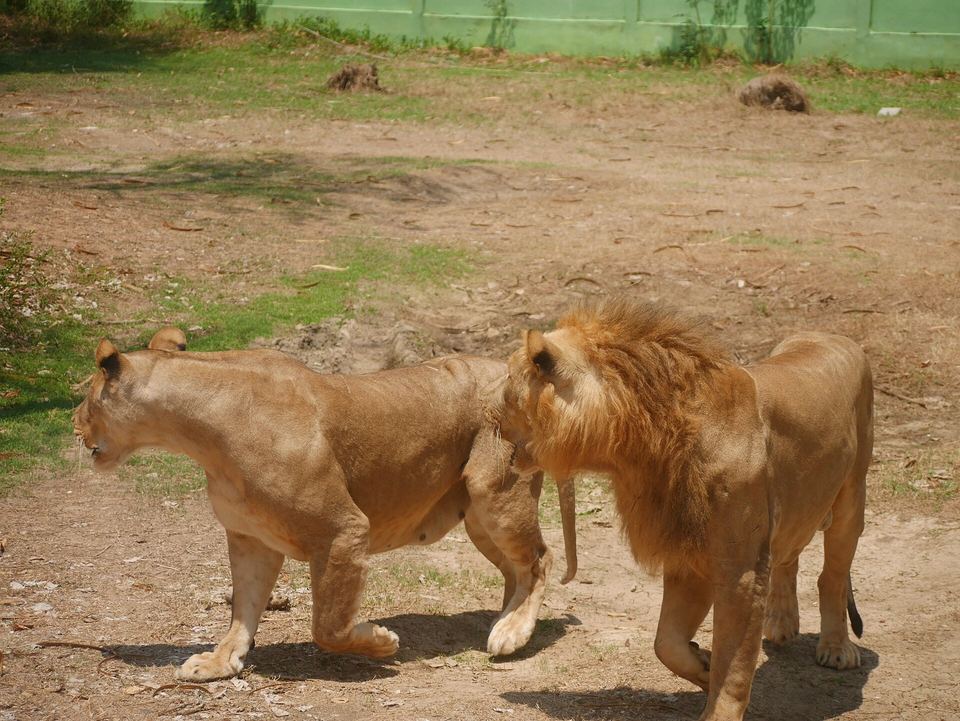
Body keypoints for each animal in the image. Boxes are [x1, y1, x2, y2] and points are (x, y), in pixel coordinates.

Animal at [73, 329, 577, 682]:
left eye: (86, 395)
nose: (73, 422)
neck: (201, 435)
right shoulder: (250, 538)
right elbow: (243, 609)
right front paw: (220, 661)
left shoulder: (344, 529)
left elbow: (328, 626)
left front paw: (380, 643)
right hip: (477, 516)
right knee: (517, 569)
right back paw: (507, 622)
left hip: (496, 494)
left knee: (541, 558)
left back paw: (513, 633)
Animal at [496, 297, 872, 721]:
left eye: (509, 385)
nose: (492, 420)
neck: (639, 447)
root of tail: (836, 336)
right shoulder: (686, 556)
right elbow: (667, 643)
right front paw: (702, 665)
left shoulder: (740, 571)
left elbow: (734, 663)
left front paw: (718, 702)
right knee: (789, 556)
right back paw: (780, 623)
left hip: (851, 499)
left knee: (832, 576)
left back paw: (836, 649)